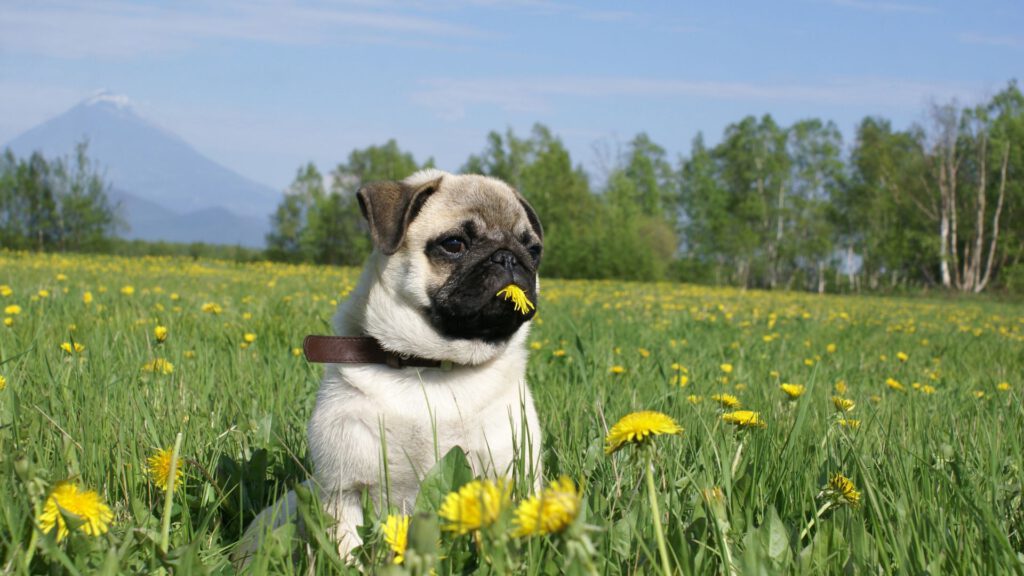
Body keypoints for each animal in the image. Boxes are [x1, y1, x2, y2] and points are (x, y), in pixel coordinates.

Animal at [235, 168, 544, 561]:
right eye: (454, 244)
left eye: (533, 250)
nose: (508, 258)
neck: (431, 365)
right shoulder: (345, 491)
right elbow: (345, 552)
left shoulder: (509, 476)